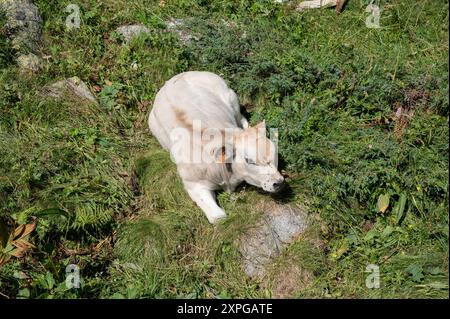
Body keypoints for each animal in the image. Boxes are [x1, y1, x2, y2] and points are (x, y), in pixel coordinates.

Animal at [149, 71, 284, 224]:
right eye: (250, 160)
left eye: (274, 154)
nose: (279, 182)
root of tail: (175, 77)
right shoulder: (192, 183)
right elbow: (218, 217)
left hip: (231, 97)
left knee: (241, 118)